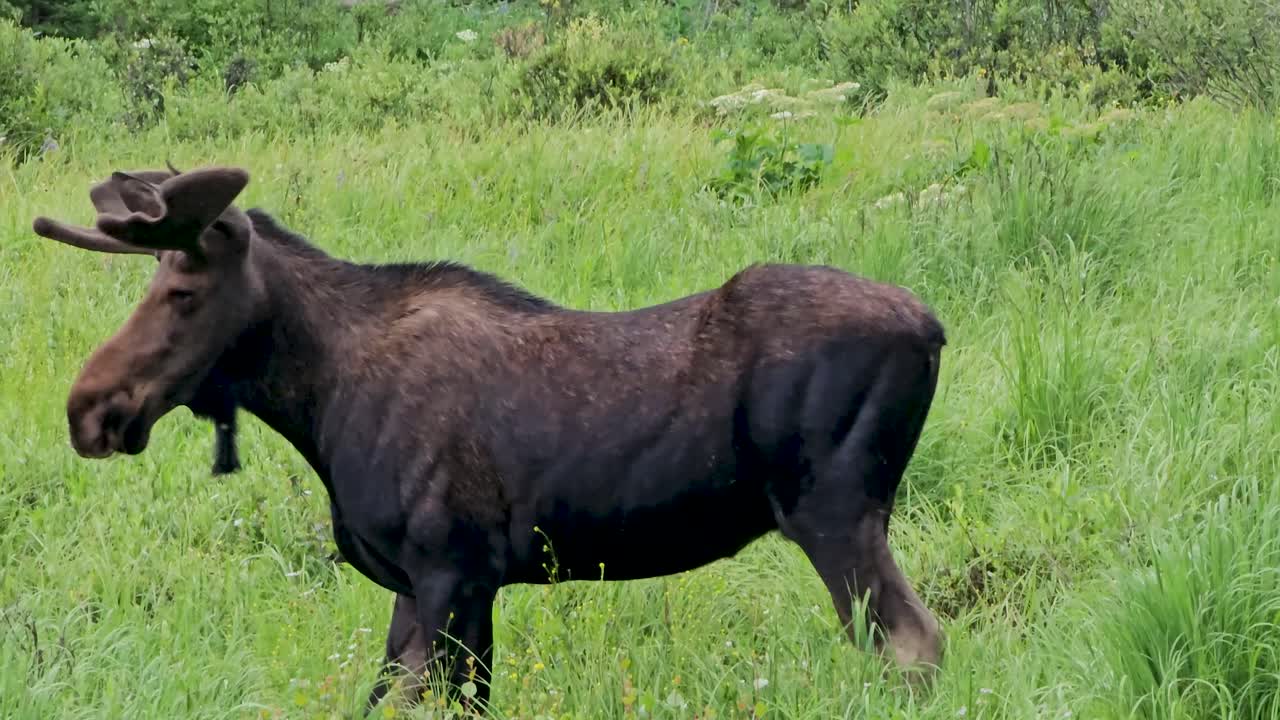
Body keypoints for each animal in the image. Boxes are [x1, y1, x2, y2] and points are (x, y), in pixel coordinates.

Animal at [32, 164, 947, 713]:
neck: (318, 404)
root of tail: (935, 329)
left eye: (182, 291)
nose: (88, 408)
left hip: (834, 511)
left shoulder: (453, 570)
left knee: (913, 645)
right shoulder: (421, 583)